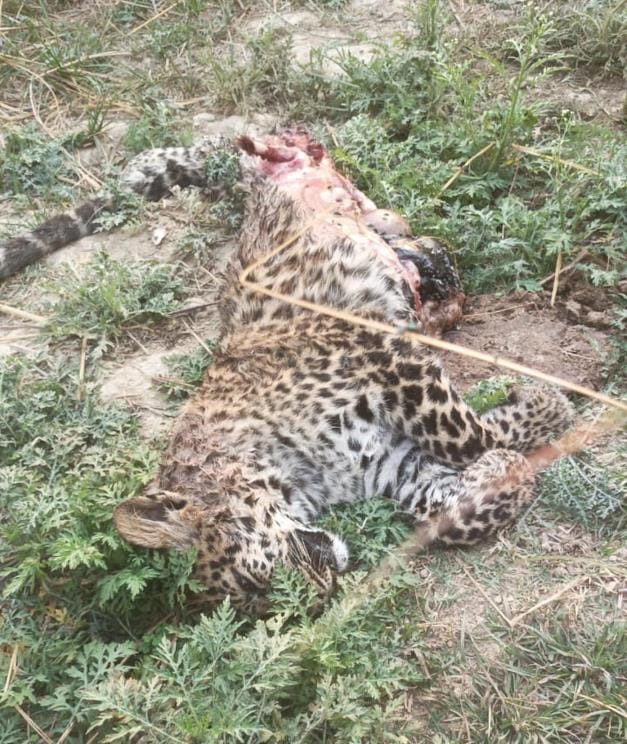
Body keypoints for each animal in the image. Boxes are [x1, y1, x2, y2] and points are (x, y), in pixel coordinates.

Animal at [0, 130, 574, 614]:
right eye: (263, 603)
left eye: (257, 576)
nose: (325, 594)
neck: (290, 475)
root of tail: (256, 179)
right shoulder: (394, 465)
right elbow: (451, 508)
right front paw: (503, 467)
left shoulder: (385, 358)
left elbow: (466, 434)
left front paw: (543, 411)